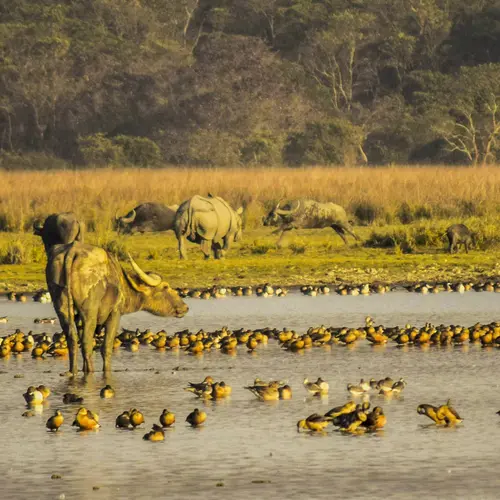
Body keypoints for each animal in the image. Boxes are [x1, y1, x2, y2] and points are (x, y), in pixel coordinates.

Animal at [37, 232, 188, 374]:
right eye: (165, 287)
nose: (185, 307)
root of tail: (72, 252)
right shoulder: (115, 314)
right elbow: (106, 347)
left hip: (62, 309)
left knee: (72, 340)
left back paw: (74, 371)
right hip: (89, 314)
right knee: (86, 342)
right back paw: (90, 371)